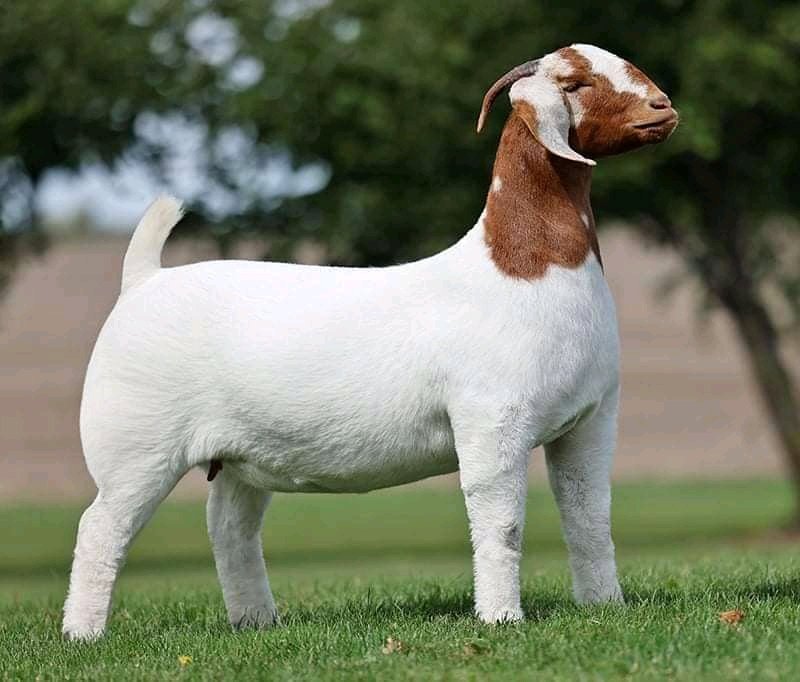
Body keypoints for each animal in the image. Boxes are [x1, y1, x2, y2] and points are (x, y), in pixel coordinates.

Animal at [62, 44, 677, 640]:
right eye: (575, 83)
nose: (663, 108)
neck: (526, 266)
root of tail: (144, 280)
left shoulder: (590, 420)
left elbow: (589, 516)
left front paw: (606, 606)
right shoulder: (491, 423)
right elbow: (501, 524)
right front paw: (502, 619)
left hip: (239, 456)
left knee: (230, 528)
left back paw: (256, 622)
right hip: (136, 446)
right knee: (100, 528)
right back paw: (84, 634)